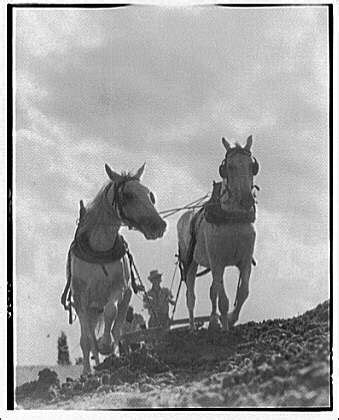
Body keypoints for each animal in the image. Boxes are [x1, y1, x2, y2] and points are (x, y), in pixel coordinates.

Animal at [66, 162, 167, 372]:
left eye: (150, 194)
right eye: (128, 195)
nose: (159, 225)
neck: (99, 250)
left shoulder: (120, 289)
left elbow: (111, 312)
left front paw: (106, 345)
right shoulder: (80, 300)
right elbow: (86, 340)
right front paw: (88, 369)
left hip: (122, 299)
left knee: (116, 327)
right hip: (87, 308)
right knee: (88, 338)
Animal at [178, 136, 260, 334]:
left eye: (251, 166)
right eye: (229, 166)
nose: (247, 200)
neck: (233, 218)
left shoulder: (245, 261)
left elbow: (243, 292)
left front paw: (230, 319)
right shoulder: (218, 262)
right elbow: (223, 299)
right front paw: (225, 327)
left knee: (212, 290)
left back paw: (213, 321)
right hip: (190, 264)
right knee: (190, 296)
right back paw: (192, 327)